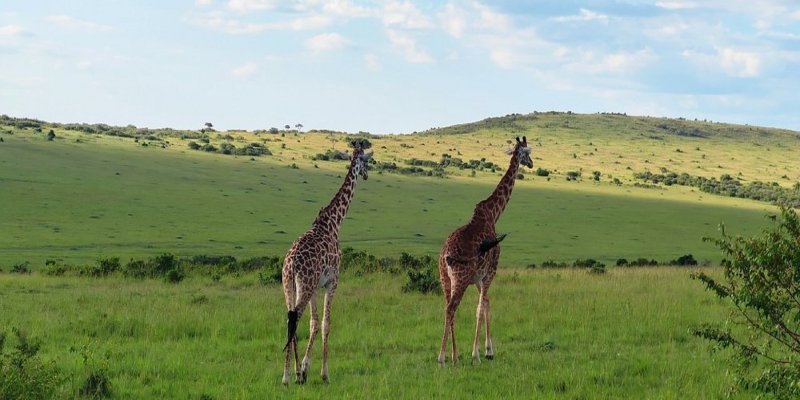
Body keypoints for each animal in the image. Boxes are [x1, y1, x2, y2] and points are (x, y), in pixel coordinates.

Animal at [281, 140, 372, 385]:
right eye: (365, 160)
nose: (367, 174)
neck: (334, 221)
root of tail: (291, 263)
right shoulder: (332, 282)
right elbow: (325, 323)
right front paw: (322, 373)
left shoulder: (316, 286)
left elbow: (313, 323)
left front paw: (303, 369)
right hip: (304, 284)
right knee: (295, 317)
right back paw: (288, 376)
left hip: (289, 285)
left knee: (291, 318)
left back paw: (288, 374)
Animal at [437, 136, 533, 366]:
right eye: (527, 153)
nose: (532, 164)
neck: (493, 213)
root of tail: (445, 256)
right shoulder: (490, 271)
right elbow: (480, 308)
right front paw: (477, 354)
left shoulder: (478, 278)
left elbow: (486, 304)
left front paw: (488, 350)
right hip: (461, 278)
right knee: (451, 307)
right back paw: (442, 358)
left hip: (444, 278)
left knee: (447, 307)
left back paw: (454, 356)